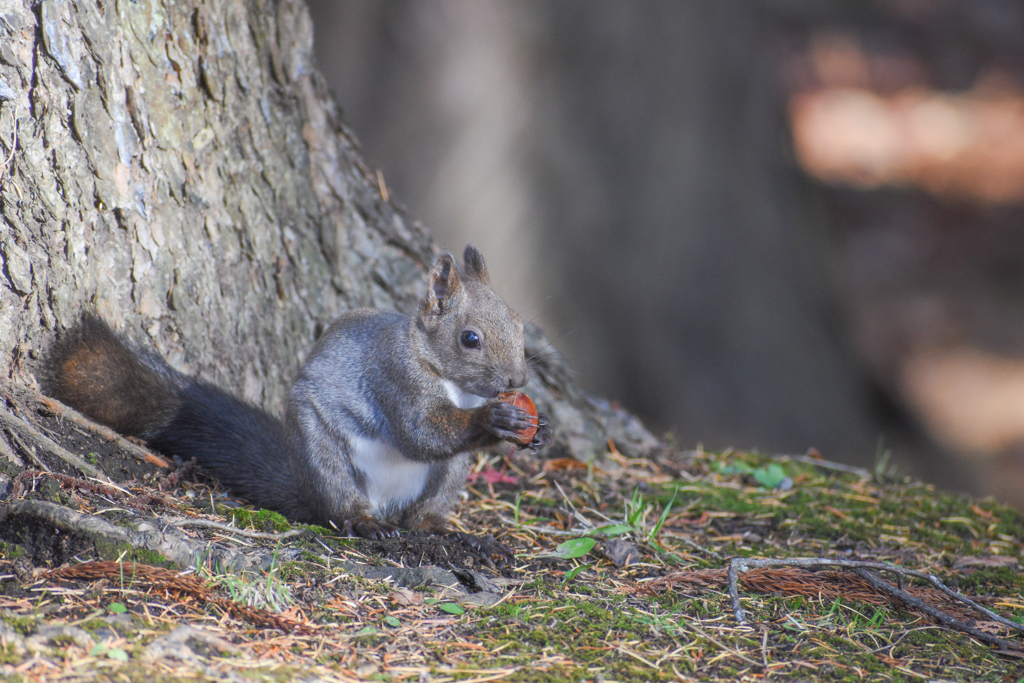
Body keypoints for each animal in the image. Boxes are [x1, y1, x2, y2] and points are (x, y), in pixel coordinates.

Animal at [44, 245, 552, 540]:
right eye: (470, 338)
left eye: (518, 323)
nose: (517, 382)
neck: (451, 382)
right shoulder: (396, 377)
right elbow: (421, 432)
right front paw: (494, 420)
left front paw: (538, 428)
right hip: (322, 454)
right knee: (340, 507)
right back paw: (366, 523)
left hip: (446, 478)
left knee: (421, 515)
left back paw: (446, 533)